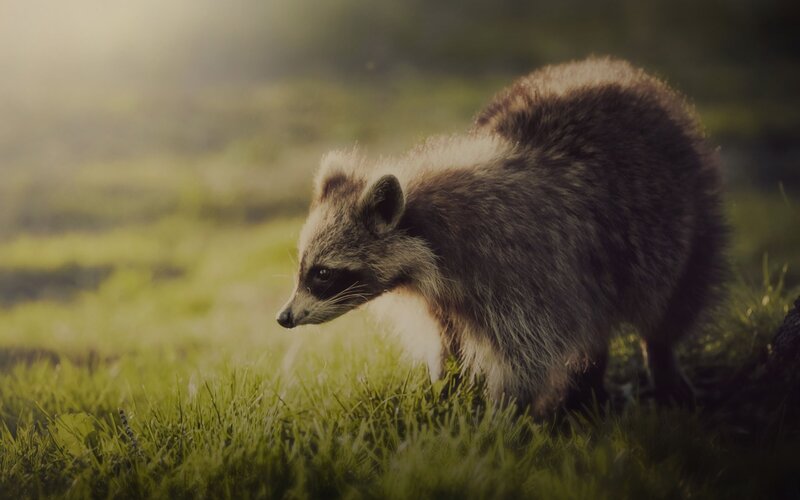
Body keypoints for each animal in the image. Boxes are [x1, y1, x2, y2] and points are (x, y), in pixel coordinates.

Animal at [277, 58, 726, 415]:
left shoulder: (522, 266)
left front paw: (502, 414)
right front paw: (447, 385)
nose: (284, 318)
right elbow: (449, 337)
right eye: (303, 267)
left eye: (322, 273)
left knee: (675, 299)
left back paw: (660, 358)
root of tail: (614, 68)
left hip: (688, 216)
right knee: (594, 323)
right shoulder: (445, 293)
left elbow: (529, 352)